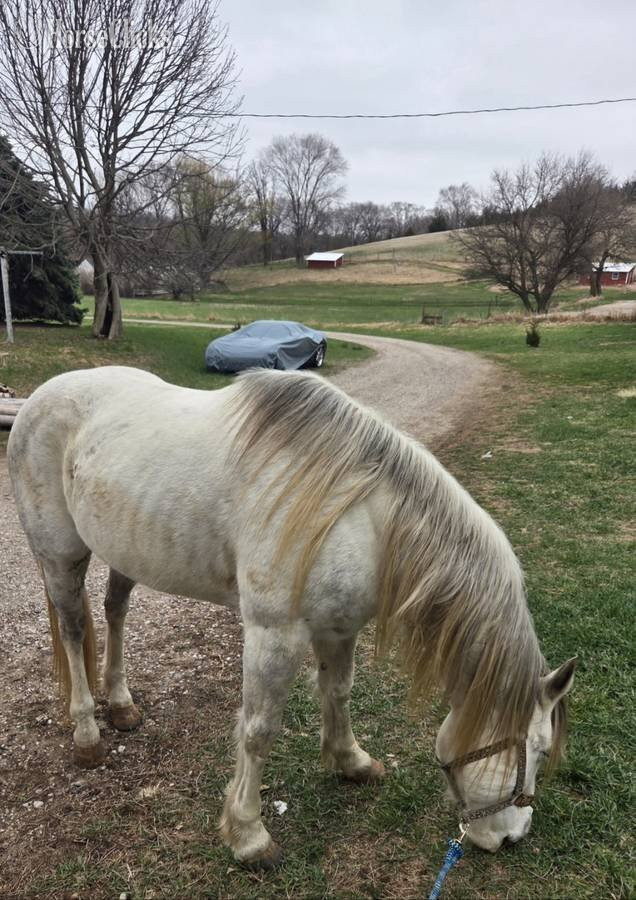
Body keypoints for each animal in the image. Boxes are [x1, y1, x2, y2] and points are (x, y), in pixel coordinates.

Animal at [7, 365, 576, 867]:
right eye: (538, 751)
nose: (512, 837)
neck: (361, 517)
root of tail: (41, 397)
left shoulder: (340, 627)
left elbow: (338, 692)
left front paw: (351, 762)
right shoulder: (274, 635)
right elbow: (259, 730)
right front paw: (248, 835)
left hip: (127, 551)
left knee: (115, 610)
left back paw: (122, 705)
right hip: (60, 557)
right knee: (74, 629)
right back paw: (87, 735)